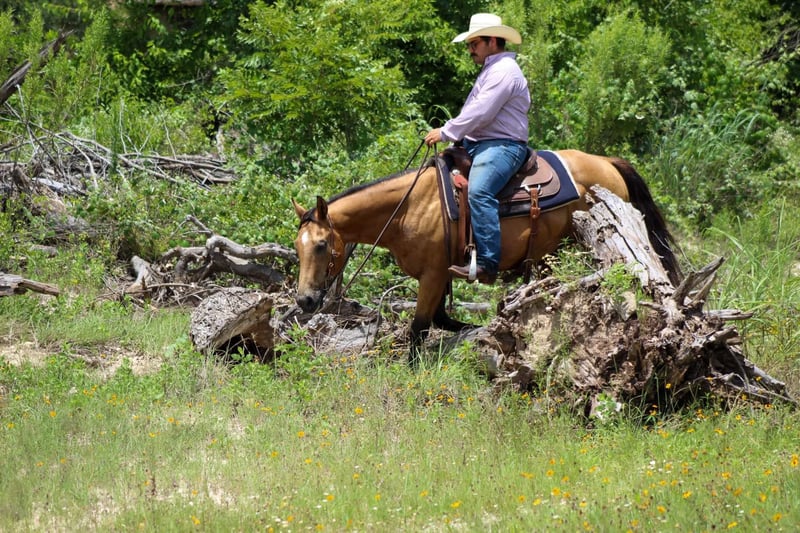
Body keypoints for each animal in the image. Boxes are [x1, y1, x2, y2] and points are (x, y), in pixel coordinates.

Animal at [292, 149, 681, 362]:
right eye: (297, 247)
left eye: (322, 245)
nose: (305, 300)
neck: (408, 208)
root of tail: (607, 163)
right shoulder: (441, 276)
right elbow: (443, 321)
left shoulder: (433, 274)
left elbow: (419, 328)